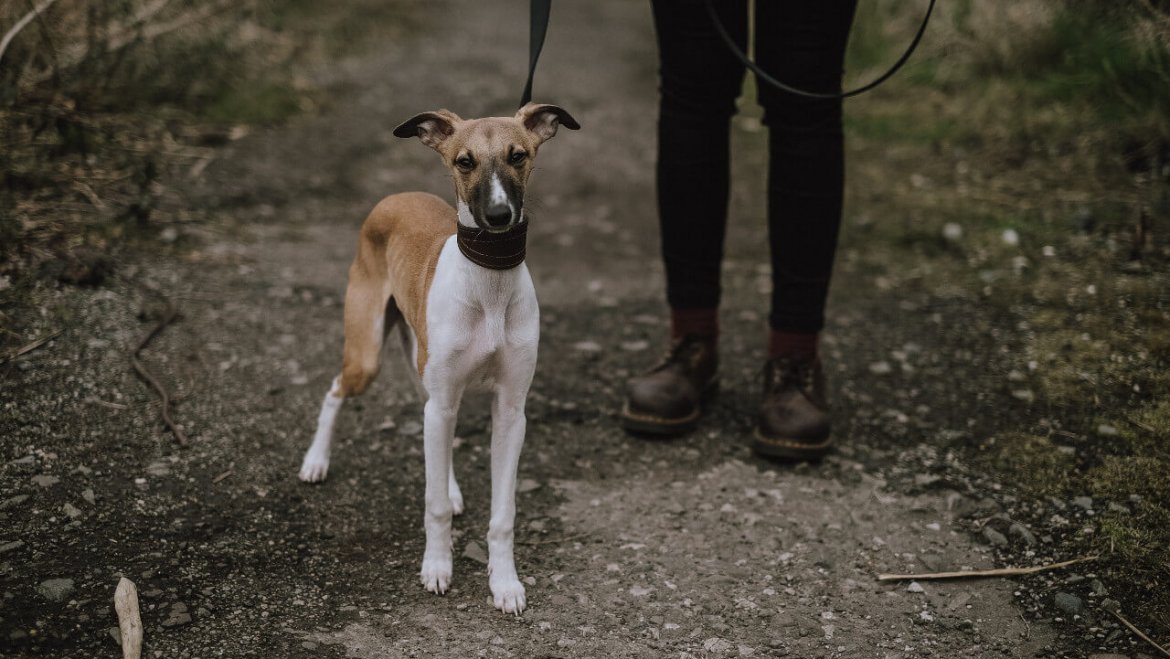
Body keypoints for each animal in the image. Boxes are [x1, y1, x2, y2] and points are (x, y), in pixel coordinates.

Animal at [299, 101, 577, 613]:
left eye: (518, 155)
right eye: (464, 161)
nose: (498, 216)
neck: (489, 282)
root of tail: (396, 195)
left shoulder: (511, 412)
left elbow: (503, 513)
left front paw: (505, 583)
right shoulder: (444, 397)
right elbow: (434, 506)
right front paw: (437, 567)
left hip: (426, 373)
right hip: (368, 356)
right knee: (335, 390)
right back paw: (315, 460)